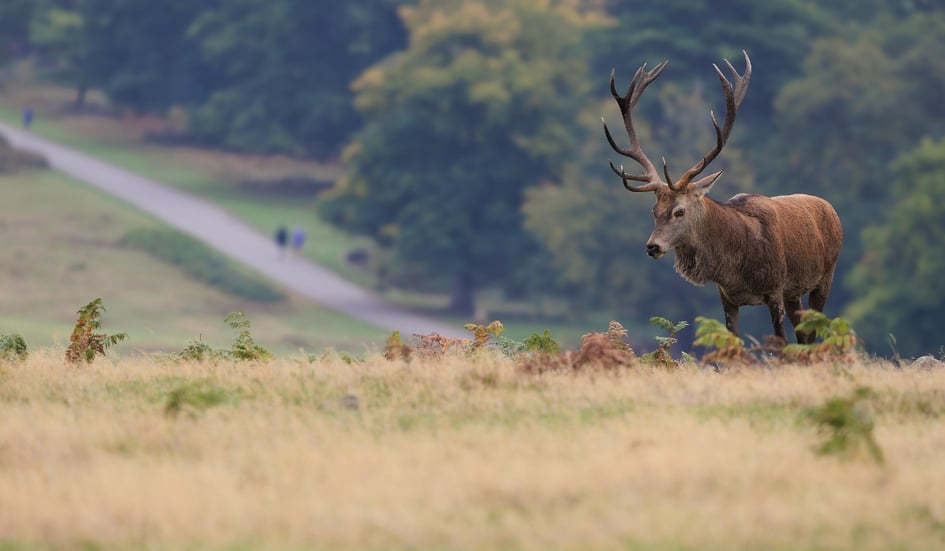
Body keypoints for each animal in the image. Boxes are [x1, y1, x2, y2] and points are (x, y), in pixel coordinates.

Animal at [602, 51, 842, 345]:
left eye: (679, 211)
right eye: (654, 210)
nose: (652, 247)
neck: (737, 266)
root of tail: (830, 208)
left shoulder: (775, 288)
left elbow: (780, 345)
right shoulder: (727, 296)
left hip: (824, 276)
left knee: (814, 332)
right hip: (794, 292)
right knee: (804, 334)